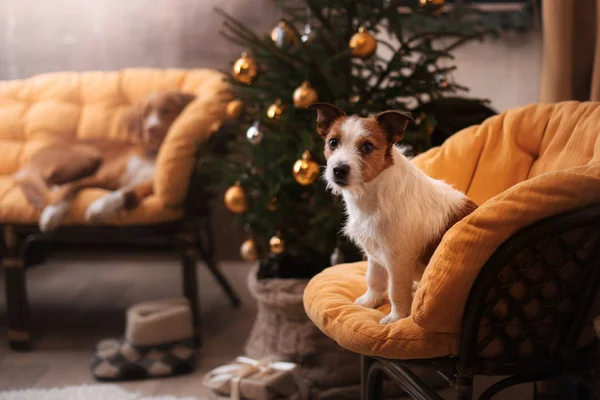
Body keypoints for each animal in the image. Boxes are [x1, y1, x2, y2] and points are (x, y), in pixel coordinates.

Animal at [12, 91, 195, 233]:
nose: (151, 129)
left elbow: (125, 193)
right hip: (87, 156)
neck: (152, 154)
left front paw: (100, 208)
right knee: (51, 183)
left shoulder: (145, 186)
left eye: (166, 111)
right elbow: (70, 188)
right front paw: (52, 214)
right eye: (145, 115)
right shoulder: (101, 177)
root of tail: (29, 163)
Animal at [312, 103, 476, 324]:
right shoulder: (373, 253)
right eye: (333, 142)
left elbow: (395, 291)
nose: (338, 169)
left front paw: (396, 317)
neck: (374, 194)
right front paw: (370, 301)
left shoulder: (398, 260)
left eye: (367, 147)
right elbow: (374, 280)